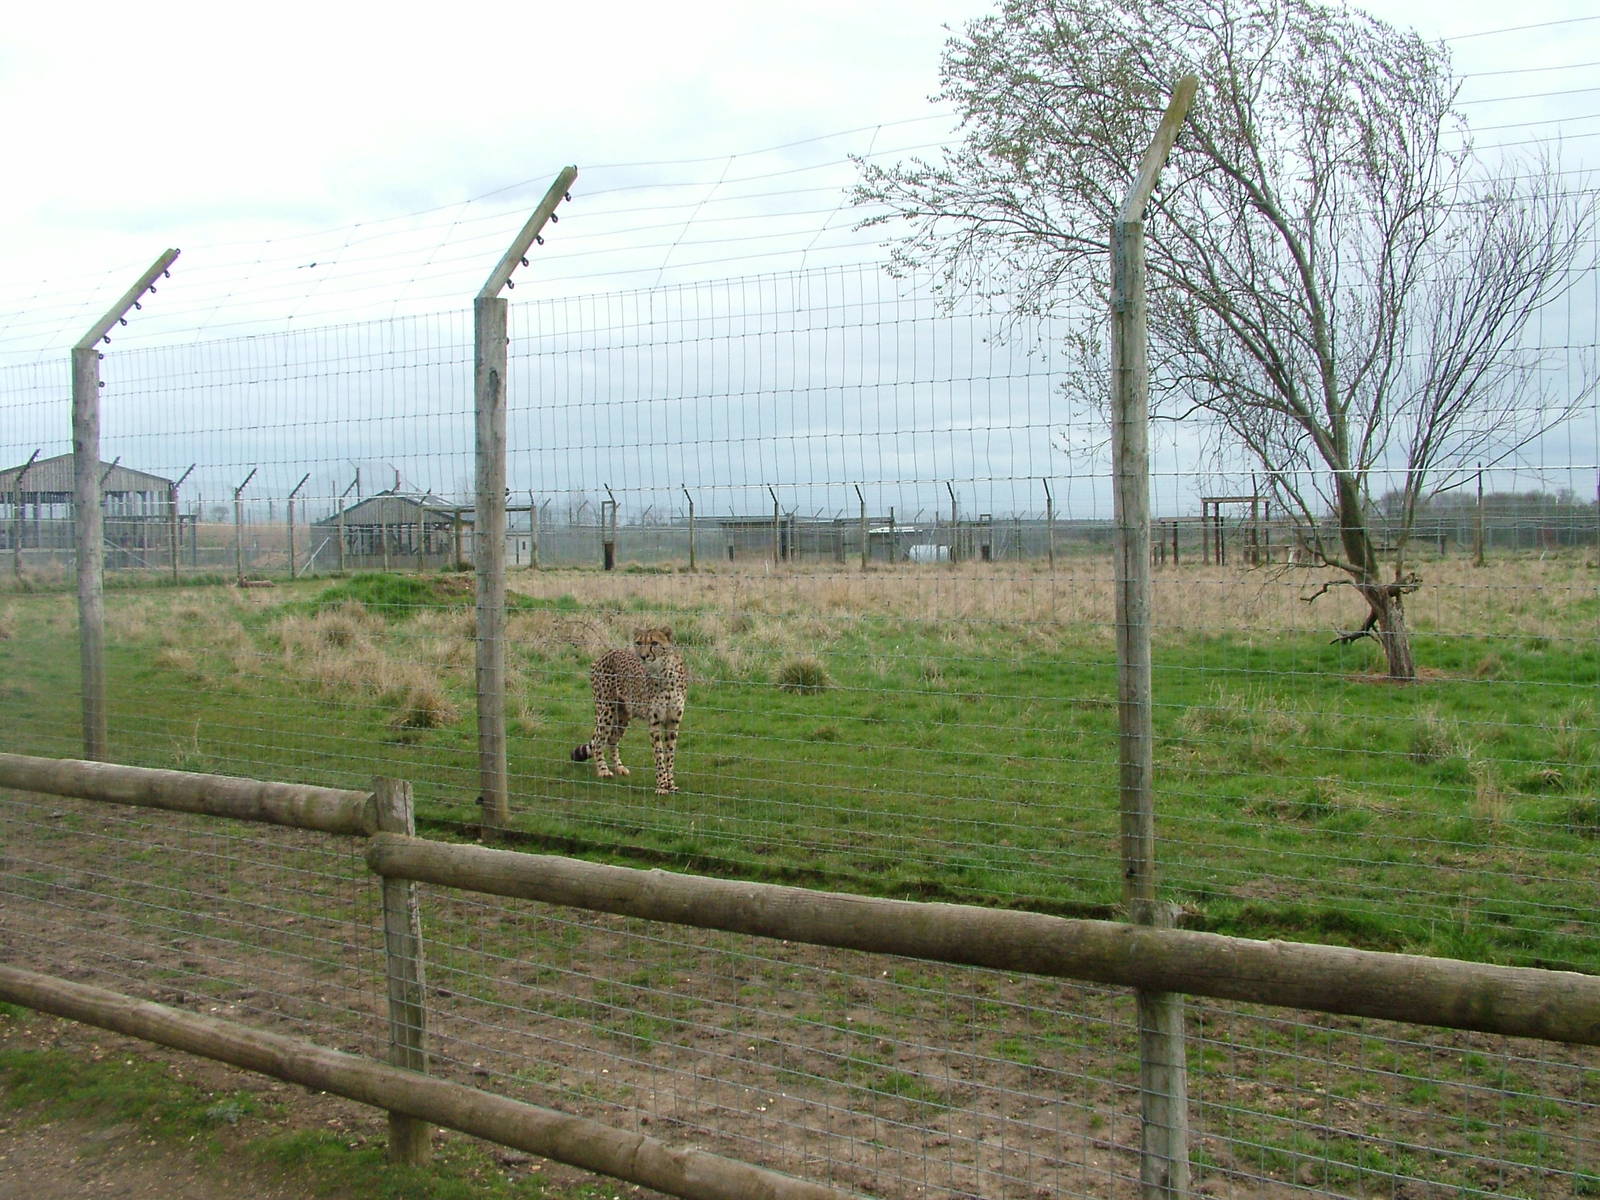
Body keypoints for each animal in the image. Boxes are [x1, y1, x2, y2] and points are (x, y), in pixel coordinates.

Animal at [570, 626, 687, 795]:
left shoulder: (673, 721)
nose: (643, 656)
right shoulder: (654, 722)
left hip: (623, 715)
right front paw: (661, 786)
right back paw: (603, 770)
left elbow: (670, 755)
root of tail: (607, 653)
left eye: (654, 643)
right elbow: (659, 755)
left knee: (612, 739)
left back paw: (619, 767)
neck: (664, 672)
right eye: (638, 642)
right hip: (606, 710)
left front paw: (670, 784)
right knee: (599, 740)